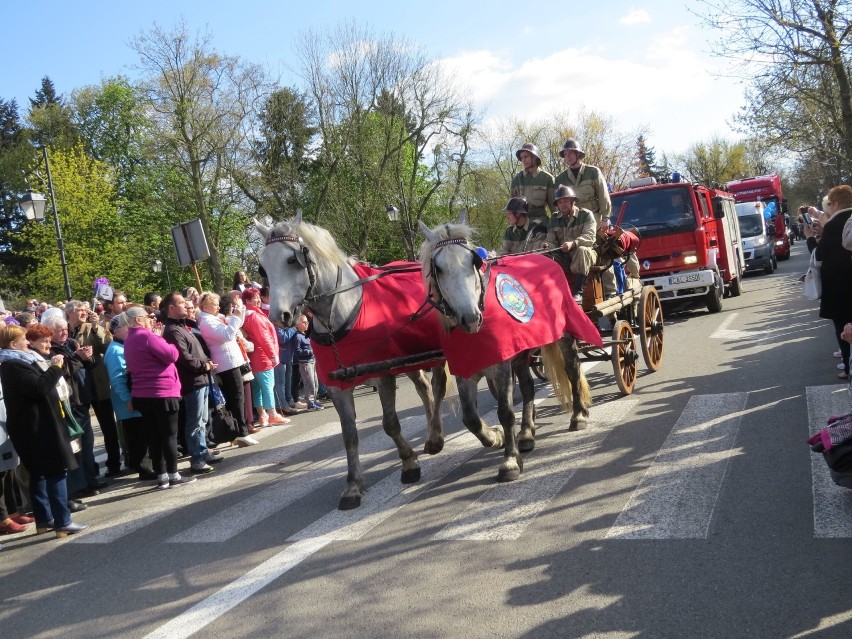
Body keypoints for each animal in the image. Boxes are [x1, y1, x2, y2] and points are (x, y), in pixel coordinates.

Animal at [256, 215, 450, 510]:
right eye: (263, 267)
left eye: (292, 260)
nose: (280, 316)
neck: (341, 311)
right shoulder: (338, 386)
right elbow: (349, 435)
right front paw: (353, 486)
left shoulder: (383, 375)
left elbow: (390, 424)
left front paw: (408, 464)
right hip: (406, 360)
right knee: (424, 389)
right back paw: (430, 436)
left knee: (438, 386)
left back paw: (436, 436)